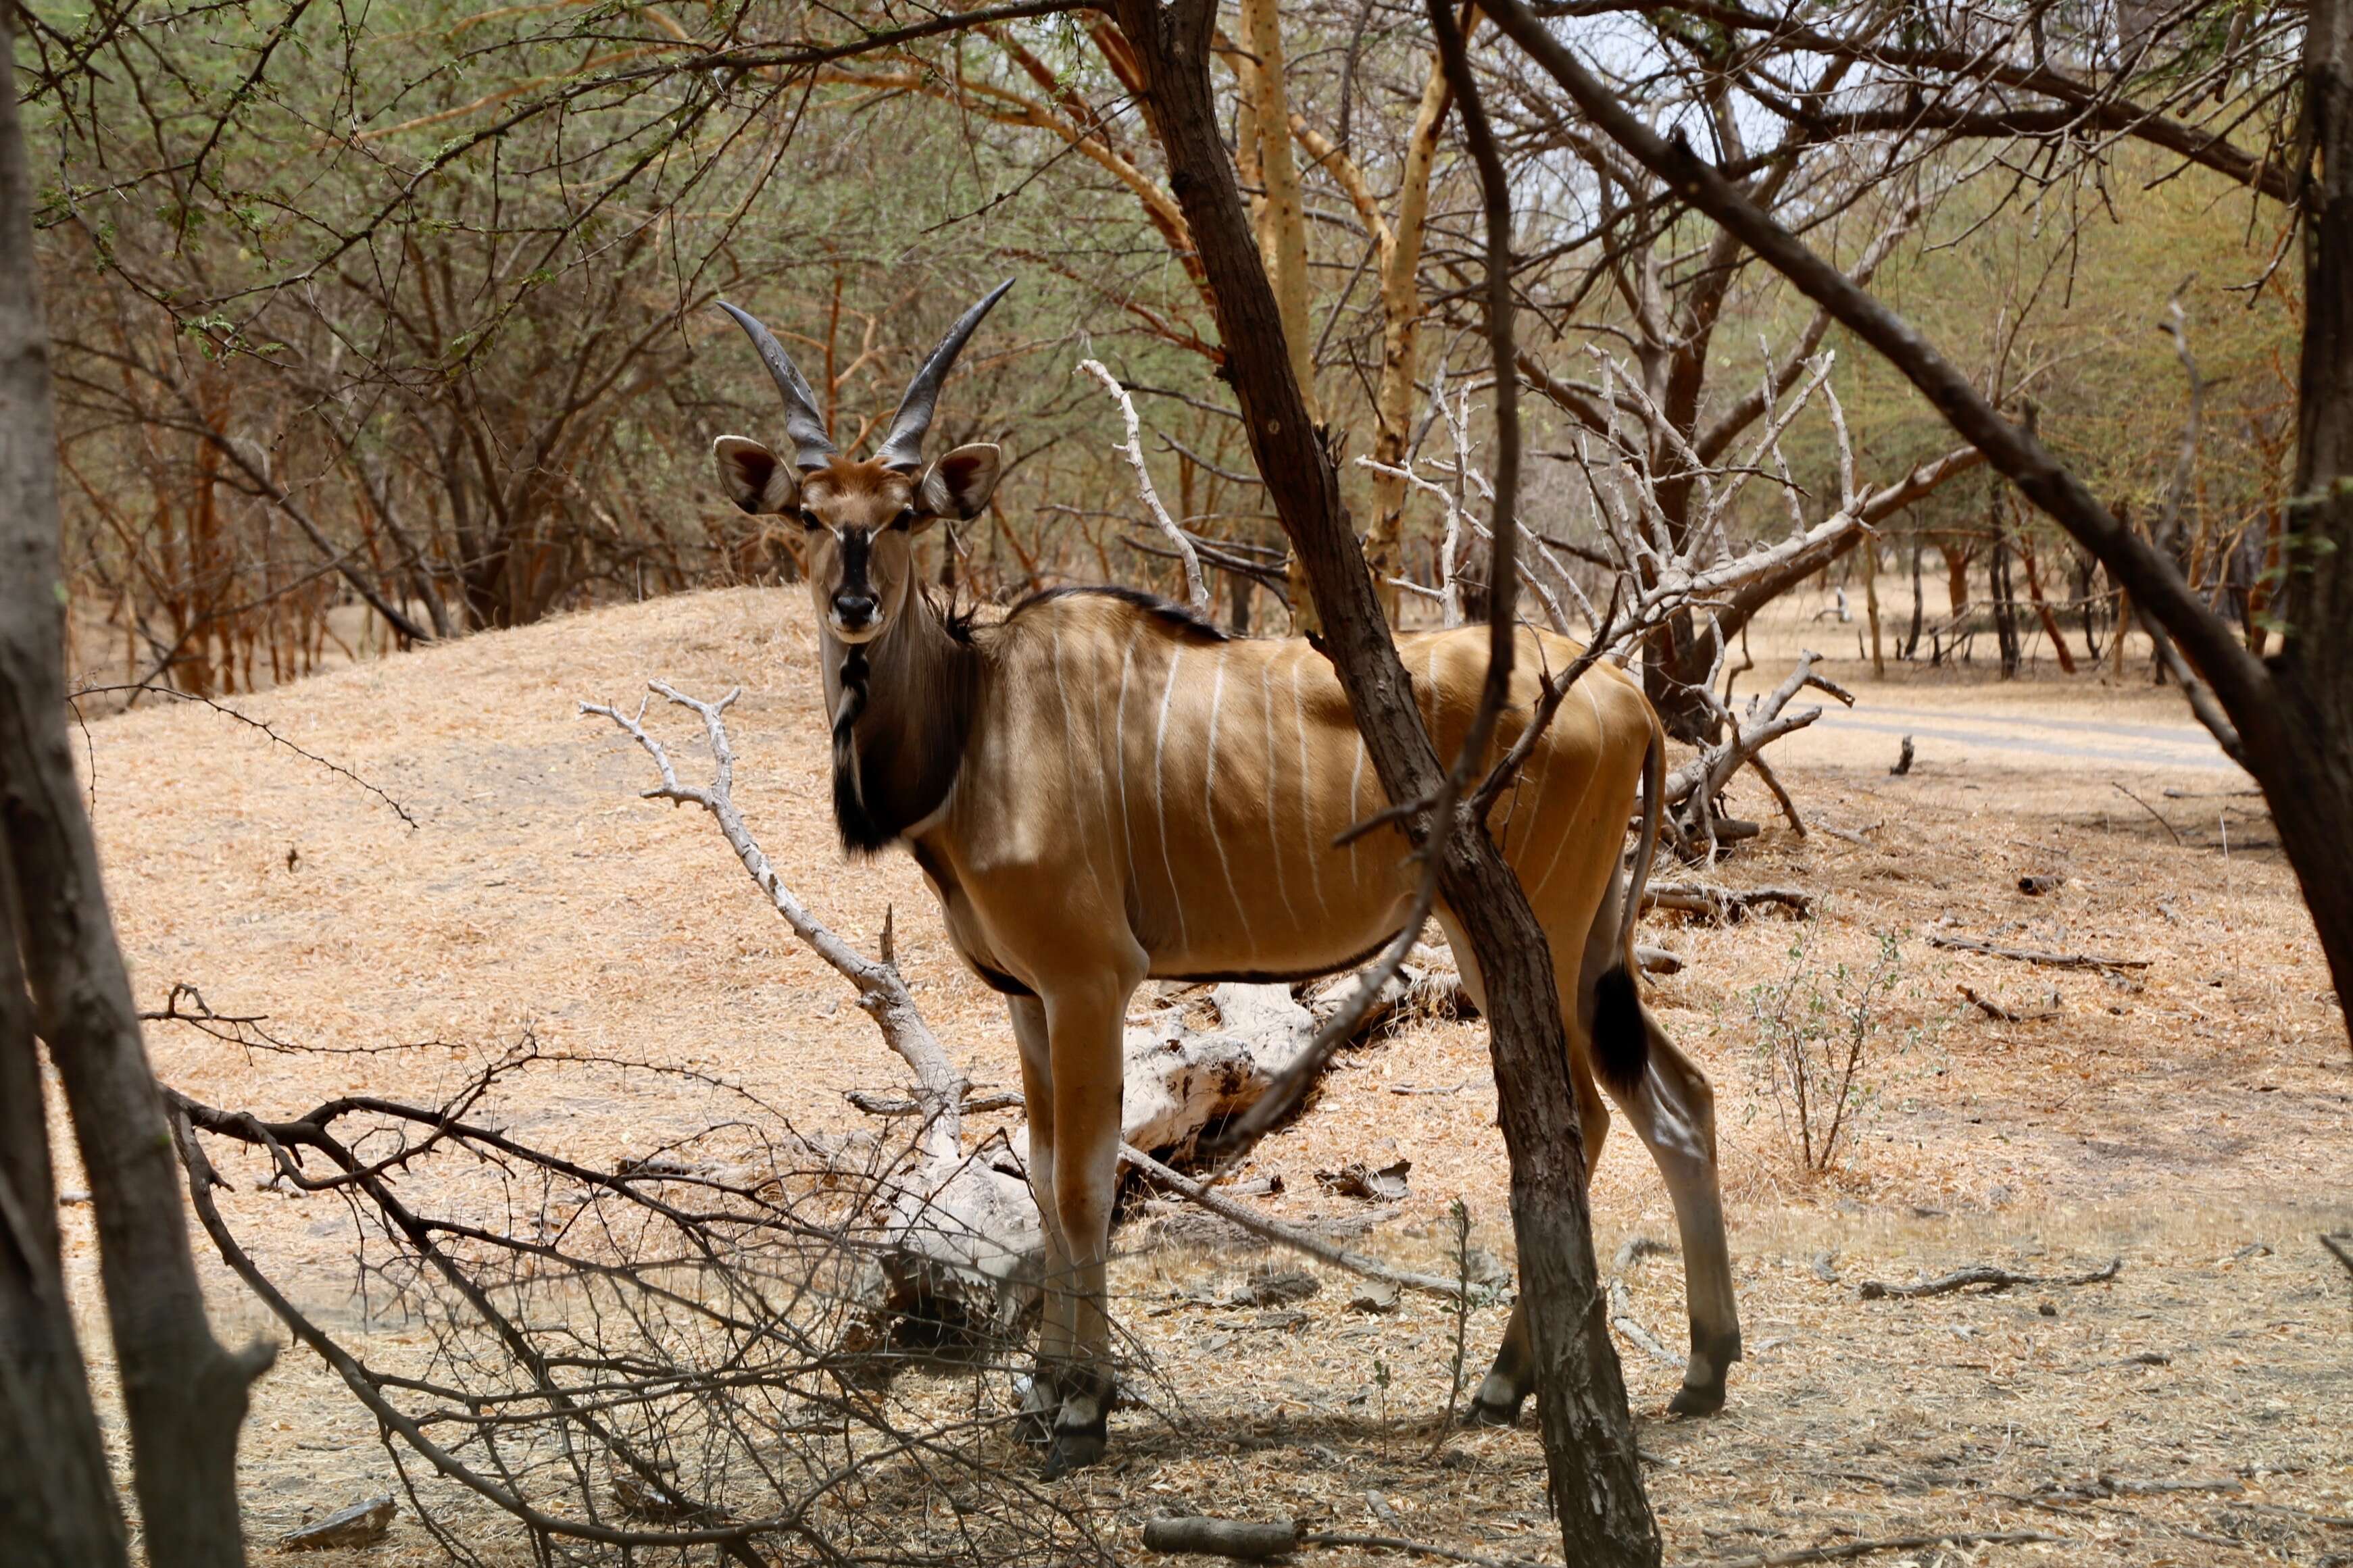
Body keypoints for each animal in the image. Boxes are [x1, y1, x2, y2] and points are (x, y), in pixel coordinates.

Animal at [705, 288, 1741, 1476]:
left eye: (910, 512)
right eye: (807, 514)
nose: (856, 602)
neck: (977, 718)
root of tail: (1624, 689)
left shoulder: (1089, 981)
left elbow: (1081, 1180)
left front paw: (1079, 1409)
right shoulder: (1027, 998)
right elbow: (1044, 1173)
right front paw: (1043, 1390)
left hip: (1532, 933)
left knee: (1579, 1114)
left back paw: (1506, 1379)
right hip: (1573, 939)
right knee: (1675, 1097)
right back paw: (1700, 1367)